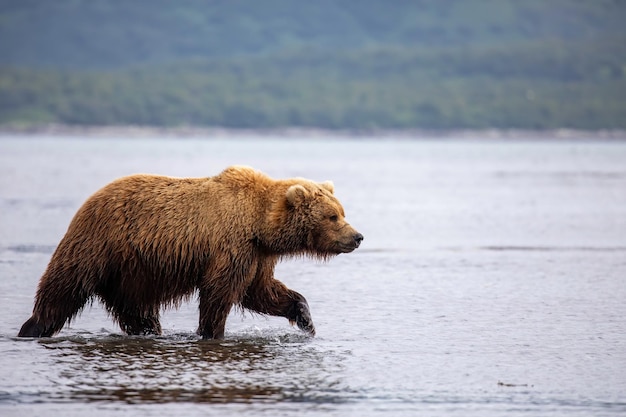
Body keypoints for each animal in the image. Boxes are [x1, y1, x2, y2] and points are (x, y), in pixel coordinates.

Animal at [18, 166, 360, 338]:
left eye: (342, 211)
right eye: (333, 216)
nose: (357, 236)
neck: (260, 223)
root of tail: (89, 201)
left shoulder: (257, 254)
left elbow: (261, 291)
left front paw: (305, 318)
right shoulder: (232, 245)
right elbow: (220, 294)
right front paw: (211, 332)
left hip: (132, 272)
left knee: (137, 310)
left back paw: (150, 331)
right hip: (100, 244)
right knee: (63, 287)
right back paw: (32, 327)